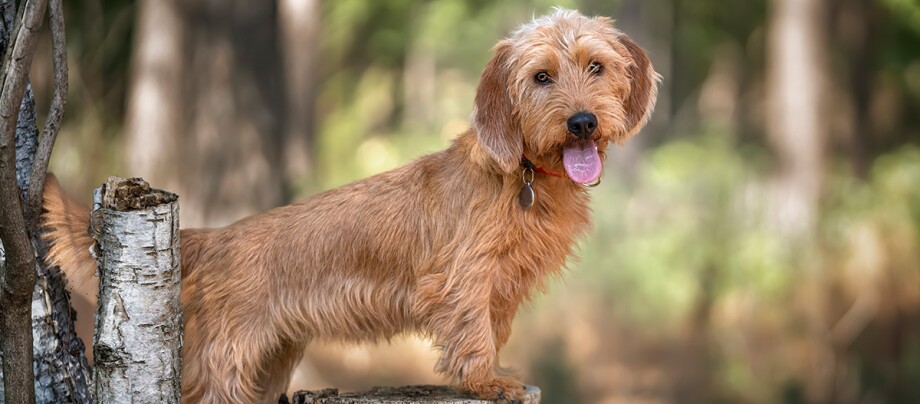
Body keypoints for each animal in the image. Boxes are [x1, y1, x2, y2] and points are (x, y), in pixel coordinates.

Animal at [41, 9, 656, 404]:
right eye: (541, 76)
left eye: (596, 66)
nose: (582, 122)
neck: (524, 176)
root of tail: (214, 236)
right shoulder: (465, 278)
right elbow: (472, 332)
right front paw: (485, 381)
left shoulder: (501, 287)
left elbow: (492, 330)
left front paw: (492, 375)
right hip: (225, 365)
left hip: (272, 362)